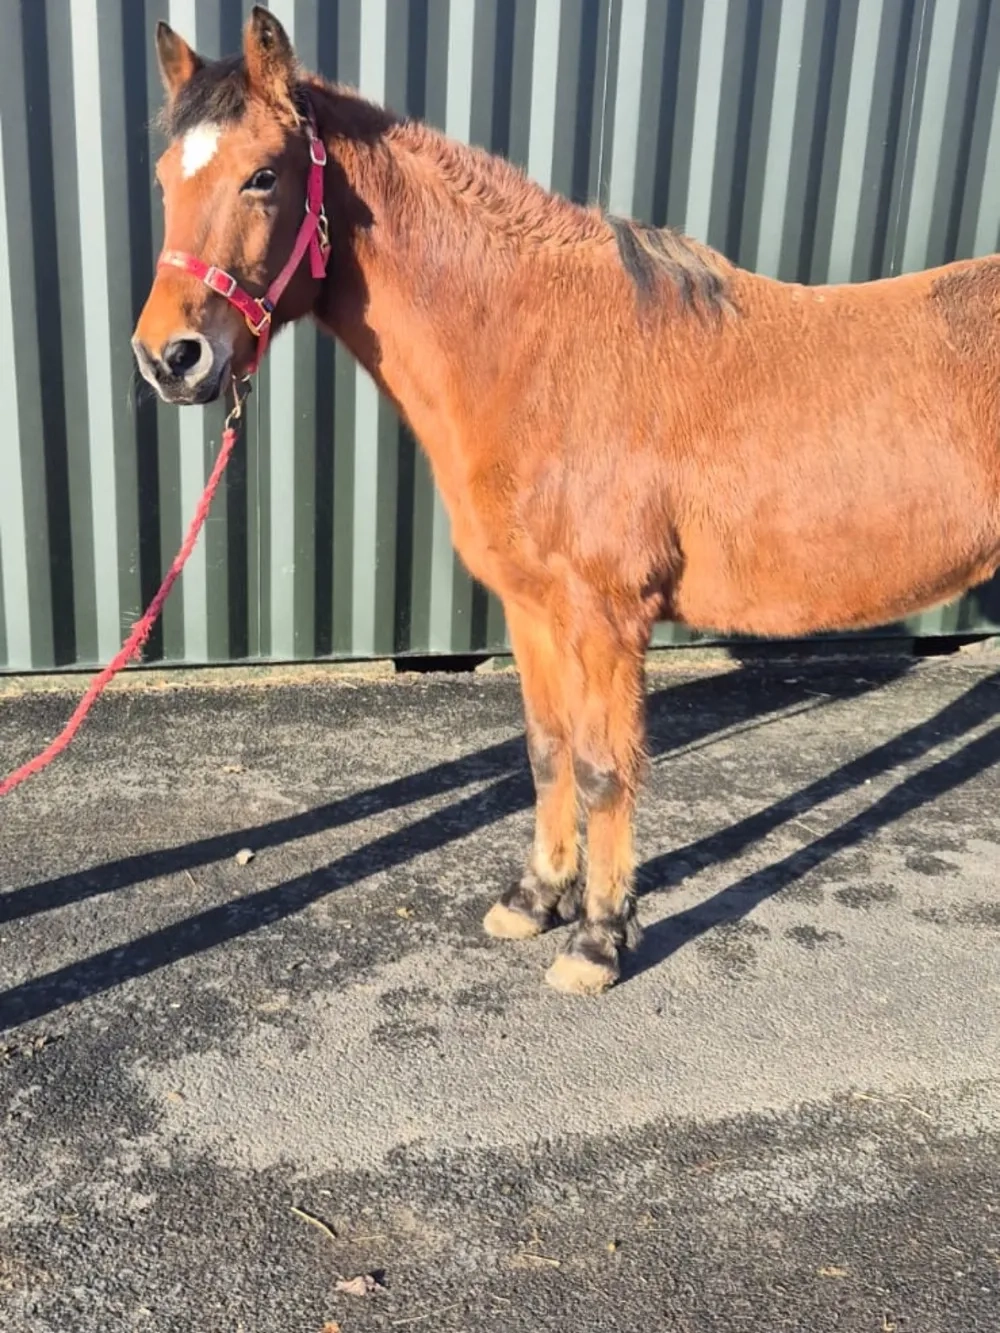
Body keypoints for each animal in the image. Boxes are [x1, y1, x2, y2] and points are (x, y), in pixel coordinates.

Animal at [133, 7, 1000, 996]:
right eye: (164, 177)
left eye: (263, 175)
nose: (168, 357)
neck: (539, 351)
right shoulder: (534, 606)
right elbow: (547, 752)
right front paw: (535, 898)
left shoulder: (607, 616)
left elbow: (603, 769)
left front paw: (598, 938)